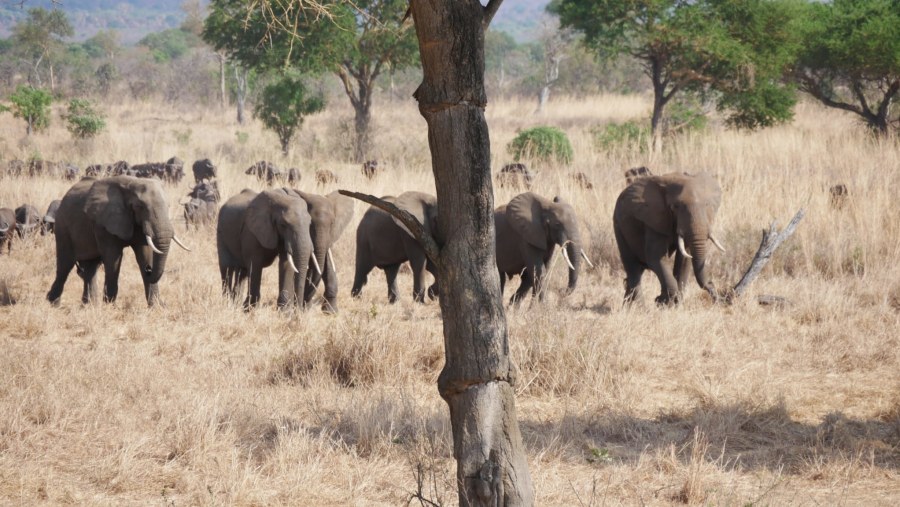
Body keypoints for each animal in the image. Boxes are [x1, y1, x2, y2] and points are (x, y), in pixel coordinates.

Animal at [45, 178, 190, 306]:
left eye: (168, 206)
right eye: (140, 206)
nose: (149, 269)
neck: (132, 183)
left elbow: (144, 253)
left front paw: (156, 307)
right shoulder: (103, 223)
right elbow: (113, 258)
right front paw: (110, 306)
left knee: (90, 268)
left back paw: (89, 306)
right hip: (62, 228)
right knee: (64, 266)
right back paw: (52, 303)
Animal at [616, 171, 728, 306]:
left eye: (707, 205)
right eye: (676, 207)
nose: (712, 284)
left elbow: (685, 259)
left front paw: (674, 304)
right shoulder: (654, 221)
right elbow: (655, 258)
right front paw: (663, 302)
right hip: (618, 226)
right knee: (633, 269)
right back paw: (639, 307)